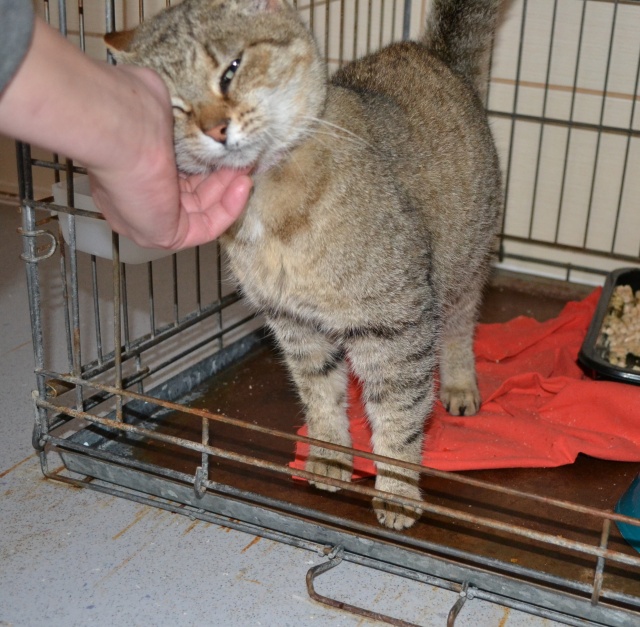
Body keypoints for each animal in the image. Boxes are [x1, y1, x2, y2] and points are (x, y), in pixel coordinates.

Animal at [106, 0, 503, 530]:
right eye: (172, 105)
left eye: (231, 69)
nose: (214, 130)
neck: (270, 211)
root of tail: (434, 54)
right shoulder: (295, 324)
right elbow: (320, 396)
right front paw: (330, 456)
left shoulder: (395, 325)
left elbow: (398, 415)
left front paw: (398, 491)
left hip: (464, 266)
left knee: (460, 330)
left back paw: (460, 386)